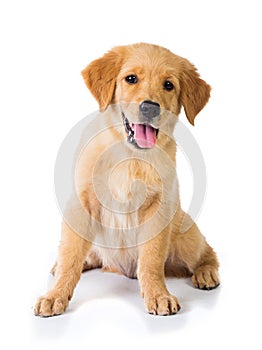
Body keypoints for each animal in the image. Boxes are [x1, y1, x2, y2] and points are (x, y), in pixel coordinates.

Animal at [34, 41, 219, 318]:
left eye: (168, 85)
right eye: (131, 78)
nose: (149, 107)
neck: (129, 155)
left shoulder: (158, 209)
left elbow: (151, 260)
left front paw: (158, 295)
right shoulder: (80, 204)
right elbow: (70, 255)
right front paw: (55, 294)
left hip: (187, 237)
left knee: (207, 251)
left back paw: (206, 273)